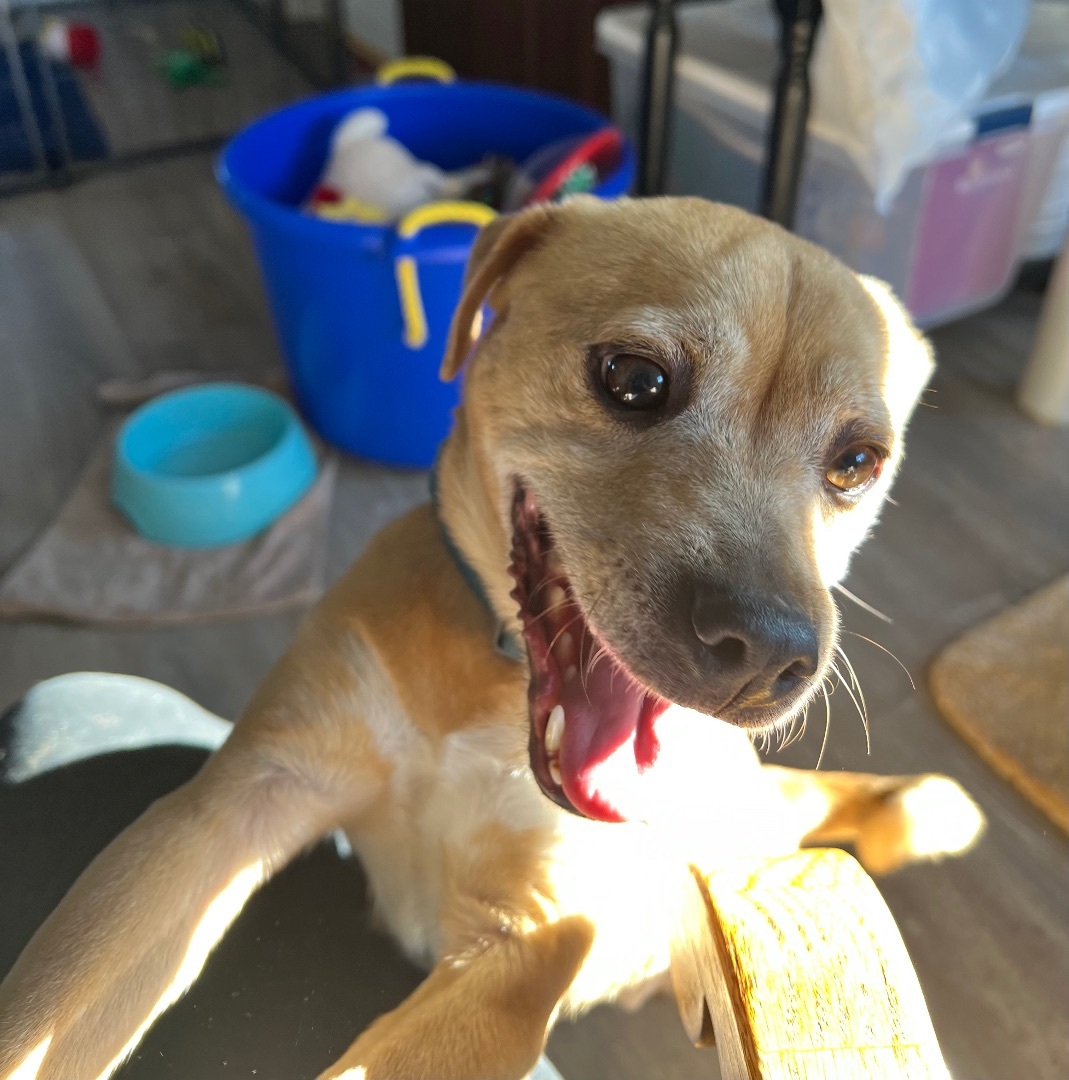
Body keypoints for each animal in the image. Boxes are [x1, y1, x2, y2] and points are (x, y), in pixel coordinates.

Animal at [0, 196, 989, 1080]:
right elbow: (50, 1011)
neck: (492, 672)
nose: (768, 654)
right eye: (634, 379)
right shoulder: (233, 805)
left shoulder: (521, 948)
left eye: (856, 463)